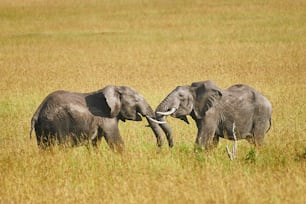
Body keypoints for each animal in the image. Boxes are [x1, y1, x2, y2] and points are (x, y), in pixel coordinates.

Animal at [29, 84, 166, 151]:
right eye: (136, 101)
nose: (157, 150)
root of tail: (37, 112)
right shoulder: (107, 117)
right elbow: (115, 140)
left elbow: (95, 143)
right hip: (56, 122)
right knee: (61, 145)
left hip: (42, 127)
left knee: (44, 147)